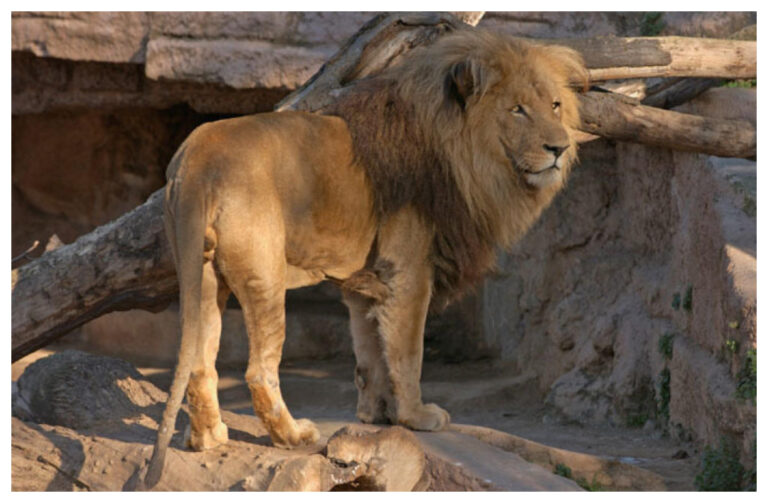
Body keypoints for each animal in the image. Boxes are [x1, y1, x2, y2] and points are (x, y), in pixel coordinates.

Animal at [140, 29, 587, 488]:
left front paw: (375, 416)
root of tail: (197, 156)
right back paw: (292, 435)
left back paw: (209, 438)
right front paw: (416, 418)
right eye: (517, 109)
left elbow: (370, 354)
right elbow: (408, 354)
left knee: (199, 362)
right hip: (264, 276)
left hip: (200, 274)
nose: (559, 147)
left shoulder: (364, 283)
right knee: (259, 370)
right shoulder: (409, 273)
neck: (464, 156)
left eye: (555, 105)